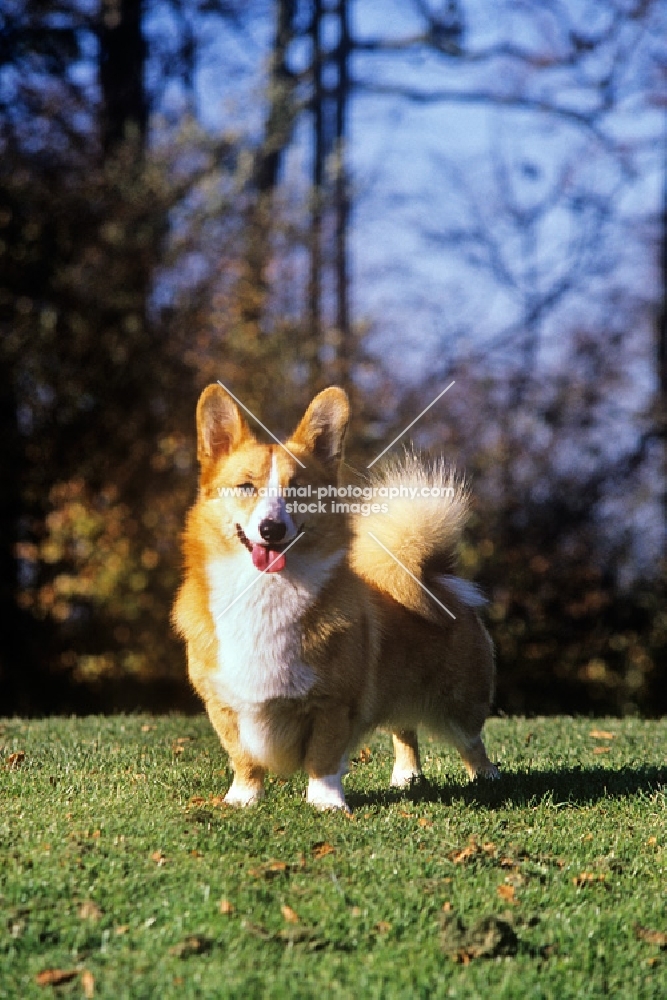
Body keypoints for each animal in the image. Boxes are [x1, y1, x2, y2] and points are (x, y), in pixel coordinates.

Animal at [172, 384, 496, 812]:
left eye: (298, 490)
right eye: (246, 487)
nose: (271, 529)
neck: (266, 592)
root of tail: (432, 577)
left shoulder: (332, 704)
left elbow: (323, 758)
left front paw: (326, 803)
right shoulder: (223, 704)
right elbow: (243, 757)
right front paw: (243, 798)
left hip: (459, 702)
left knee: (471, 743)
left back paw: (488, 780)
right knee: (404, 729)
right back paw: (406, 776)